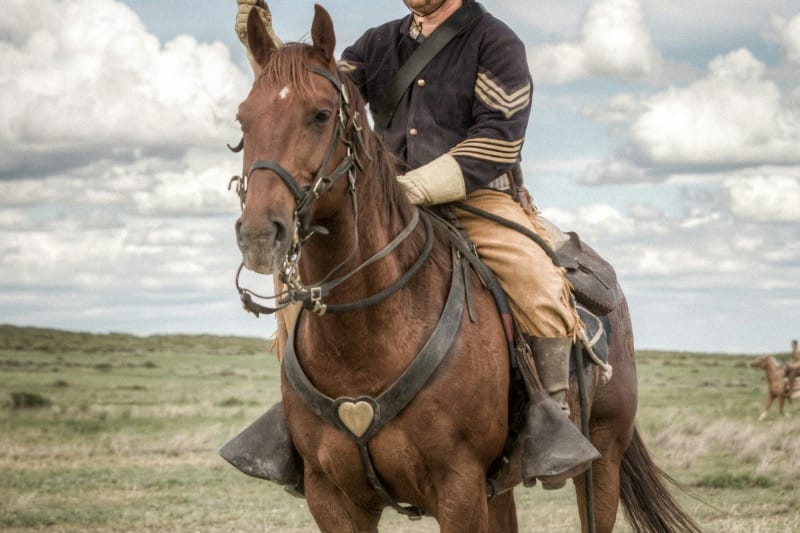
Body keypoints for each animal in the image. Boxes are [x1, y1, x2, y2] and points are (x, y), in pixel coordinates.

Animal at [231, 5, 700, 532]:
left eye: (320, 114)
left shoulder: (458, 488)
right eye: (243, 119)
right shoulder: (331, 496)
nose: (259, 233)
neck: (369, 333)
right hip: (501, 489)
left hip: (603, 461)